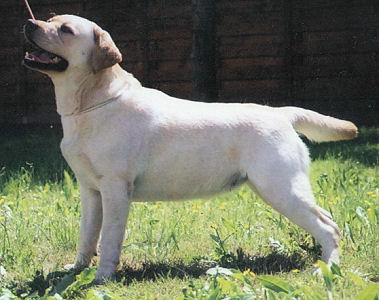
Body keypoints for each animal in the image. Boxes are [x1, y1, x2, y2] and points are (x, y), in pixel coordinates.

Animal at [22, 14, 358, 282]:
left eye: (65, 29)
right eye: (49, 18)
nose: (29, 23)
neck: (91, 103)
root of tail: (282, 113)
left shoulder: (116, 188)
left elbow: (109, 240)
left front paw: (102, 278)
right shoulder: (91, 190)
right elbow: (87, 235)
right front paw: (75, 270)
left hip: (281, 188)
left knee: (328, 226)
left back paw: (327, 268)